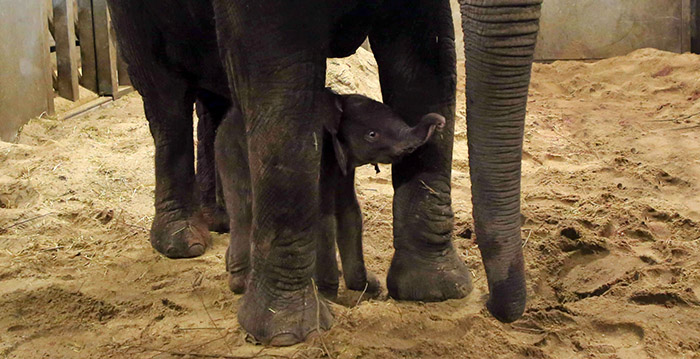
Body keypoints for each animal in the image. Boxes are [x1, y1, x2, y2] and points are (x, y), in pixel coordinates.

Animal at [216, 90, 446, 298]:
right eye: (372, 135)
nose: (440, 121)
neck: (337, 104)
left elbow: (349, 211)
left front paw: (368, 288)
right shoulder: (318, 153)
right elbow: (322, 215)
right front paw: (328, 295)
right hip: (230, 150)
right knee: (243, 210)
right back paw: (241, 283)